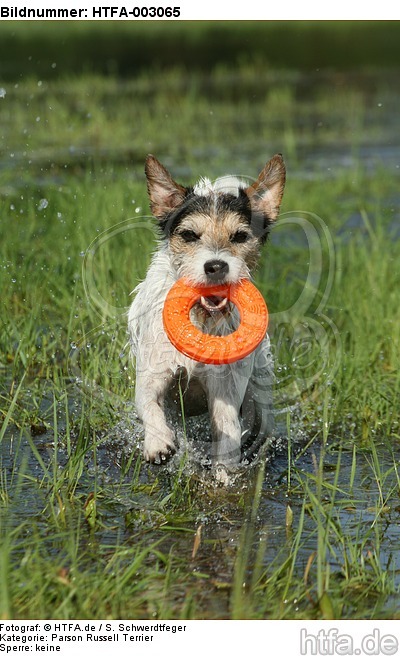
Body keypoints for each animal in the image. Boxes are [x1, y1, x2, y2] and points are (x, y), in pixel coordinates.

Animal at [128, 154, 284, 482]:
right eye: (189, 235)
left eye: (240, 236)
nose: (215, 266)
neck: (201, 319)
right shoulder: (153, 372)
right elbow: (147, 403)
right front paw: (158, 443)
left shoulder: (225, 390)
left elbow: (227, 429)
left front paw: (224, 477)